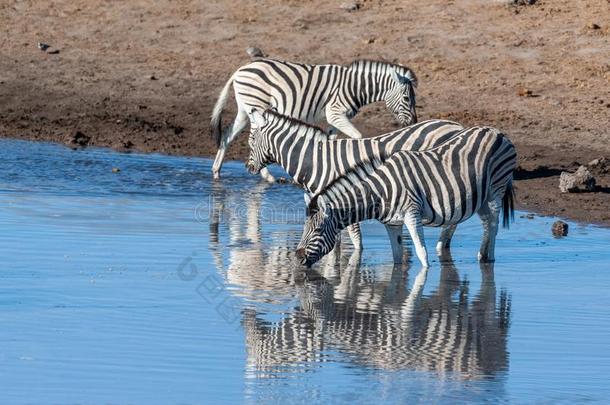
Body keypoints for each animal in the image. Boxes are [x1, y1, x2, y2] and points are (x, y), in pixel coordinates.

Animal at [207, 58, 416, 181]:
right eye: (407, 98)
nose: (413, 123)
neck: (356, 87)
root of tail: (240, 69)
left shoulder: (335, 120)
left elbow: (331, 141)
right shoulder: (335, 113)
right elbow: (357, 136)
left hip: (244, 110)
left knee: (227, 135)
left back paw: (216, 171)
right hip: (255, 106)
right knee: (253, 139)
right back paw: (267, 176)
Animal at [296, 126, 516, 266]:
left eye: (317, 231)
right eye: (304, 229)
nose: (297, 257)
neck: (380, 192)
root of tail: (497, 131)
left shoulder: (412, 215)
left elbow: (422, 253)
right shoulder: (392, 223)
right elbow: (397, 256)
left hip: (496, 189)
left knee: (494, 225)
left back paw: (490, 258)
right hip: (481, 197)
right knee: (487, 224)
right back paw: (481, 256)